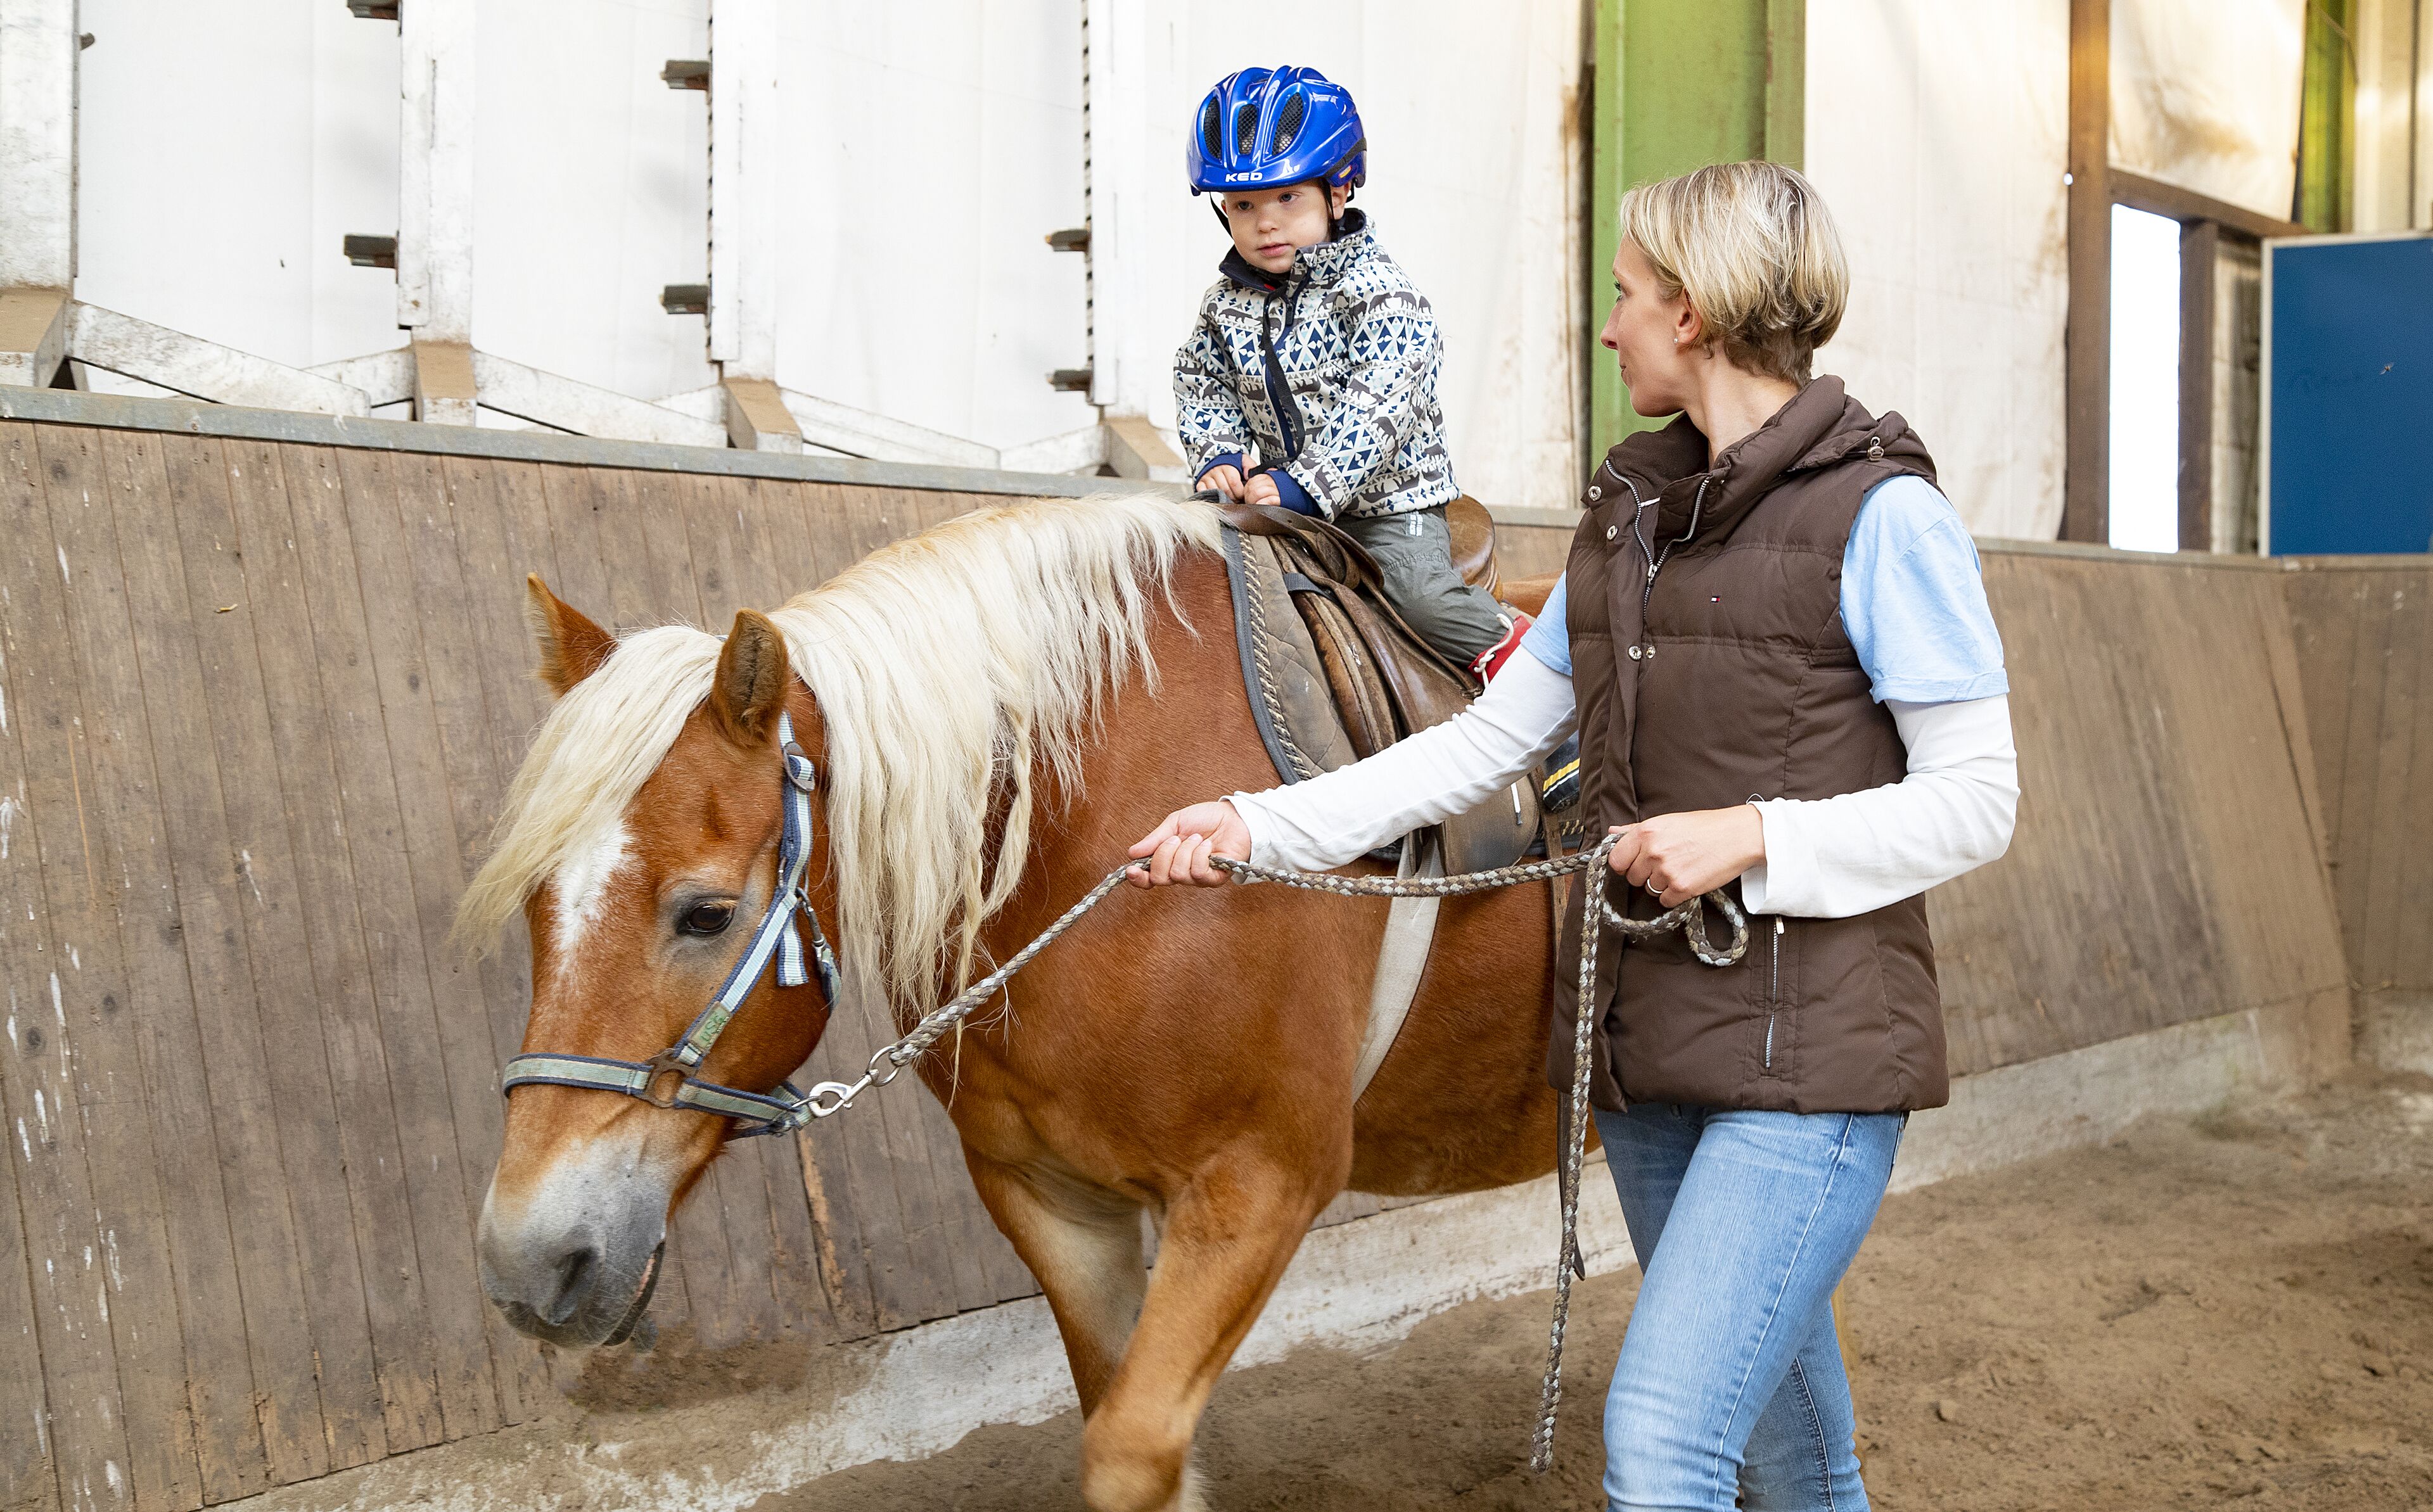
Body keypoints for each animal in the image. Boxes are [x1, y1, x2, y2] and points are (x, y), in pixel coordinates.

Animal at [458, 491, 1572, 1512]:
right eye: (535, 904)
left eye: (705, 913)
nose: (527, 1262)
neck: (1098, 840)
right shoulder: (1049, 1194)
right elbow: (1118, 1423)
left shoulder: (1259, 1184)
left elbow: (1130, 1451)